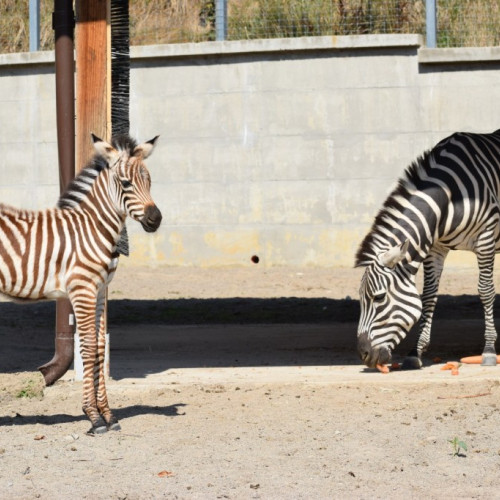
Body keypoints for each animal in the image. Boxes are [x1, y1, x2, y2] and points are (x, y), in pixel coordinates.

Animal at [0, 134, 160, 434]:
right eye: (125, 183)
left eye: (150, 181)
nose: (155, 219)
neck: (92, 229)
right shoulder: (82, 290)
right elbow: (86, 346)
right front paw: (93, 417)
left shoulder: (99, 292)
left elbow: (99, 348)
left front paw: (108, 415)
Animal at [354, 131, 500, 370]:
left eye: (379, 297)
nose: (363, 355)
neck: (449, 197)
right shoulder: (435, 248)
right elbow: (429, 296)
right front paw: (416, 352)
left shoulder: (485, 238)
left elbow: (485, 291)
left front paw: (488, 350)